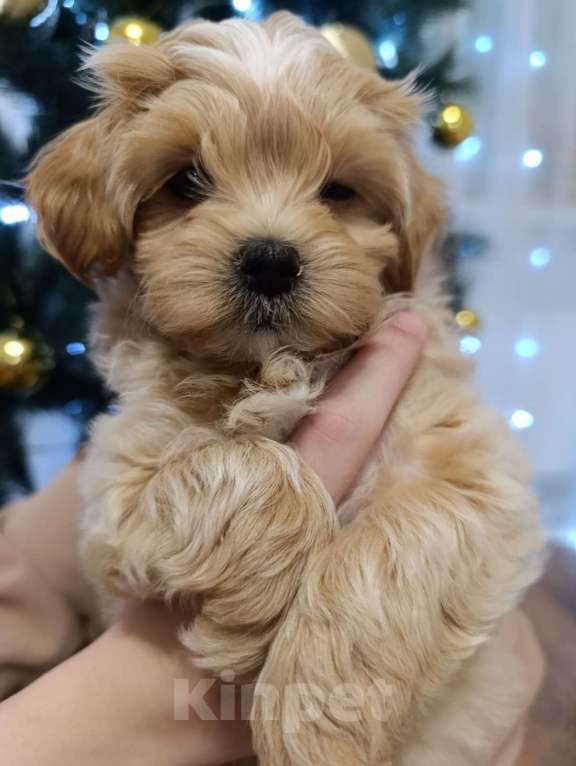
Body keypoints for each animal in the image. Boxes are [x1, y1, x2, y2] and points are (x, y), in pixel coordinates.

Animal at [27, 13, 544, 766]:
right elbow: (244, 466)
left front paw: (319, 714)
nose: (270, 260)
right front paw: (248, 622)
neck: (276, 366)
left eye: (339, 191)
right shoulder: (117, 478)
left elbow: (398, 538)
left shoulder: (462, 469)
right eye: (186, 180)